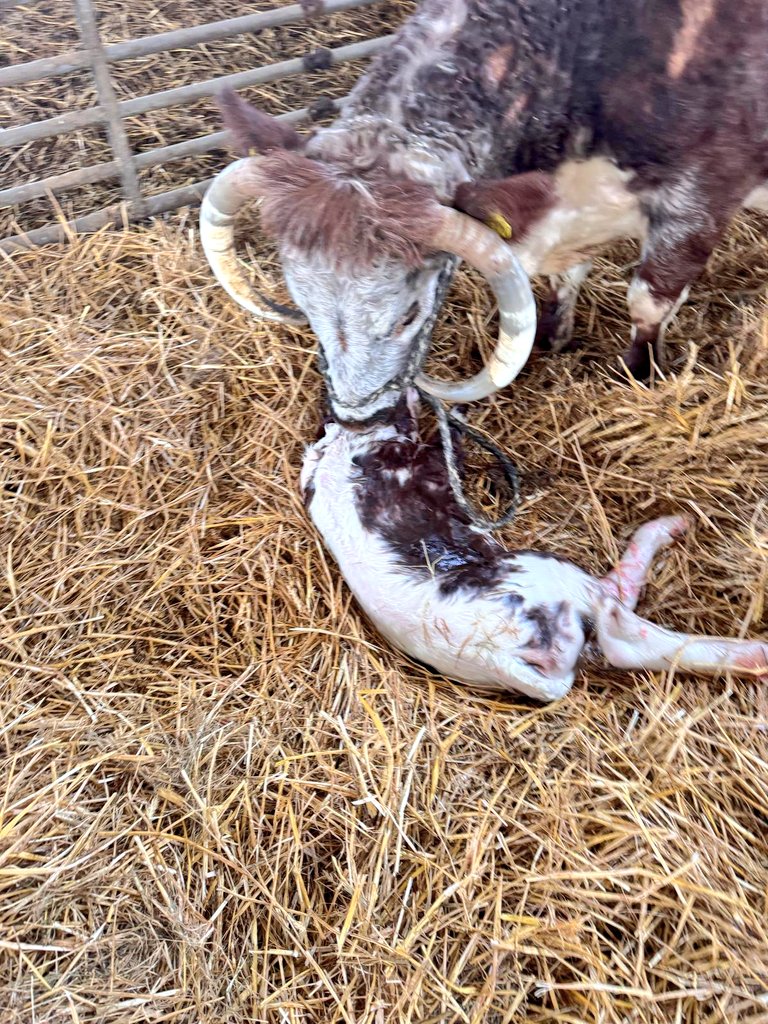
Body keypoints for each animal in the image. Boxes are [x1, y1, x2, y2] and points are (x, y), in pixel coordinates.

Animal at [200, 0, 768, 421]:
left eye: (410, 314)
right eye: (303, 301)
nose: (356, 415)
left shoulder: (700, 198)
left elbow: (648, 301)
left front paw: (640, 373)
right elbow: (565, 278)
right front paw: (553, 340)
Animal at [301, 389, 768, 700]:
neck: (343, 449)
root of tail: (497, 655)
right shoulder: (422, 463)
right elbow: (448, 451)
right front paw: (458, 413)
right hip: (552, 577)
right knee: (624, 624)